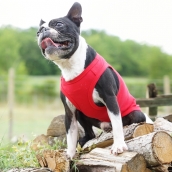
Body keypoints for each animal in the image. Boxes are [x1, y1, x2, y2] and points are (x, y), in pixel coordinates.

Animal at [37, 2, 151, 159]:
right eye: (37, 32)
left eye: (59, 24)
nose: (42, 31)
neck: (70, 65)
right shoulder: (69, 111)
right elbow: (70, 134)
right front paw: (70, 154)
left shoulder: (110, 99)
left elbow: (117, 123)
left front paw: (118, 146)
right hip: (81, 113)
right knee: (90, 133)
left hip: (137, 114)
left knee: (122, 123)